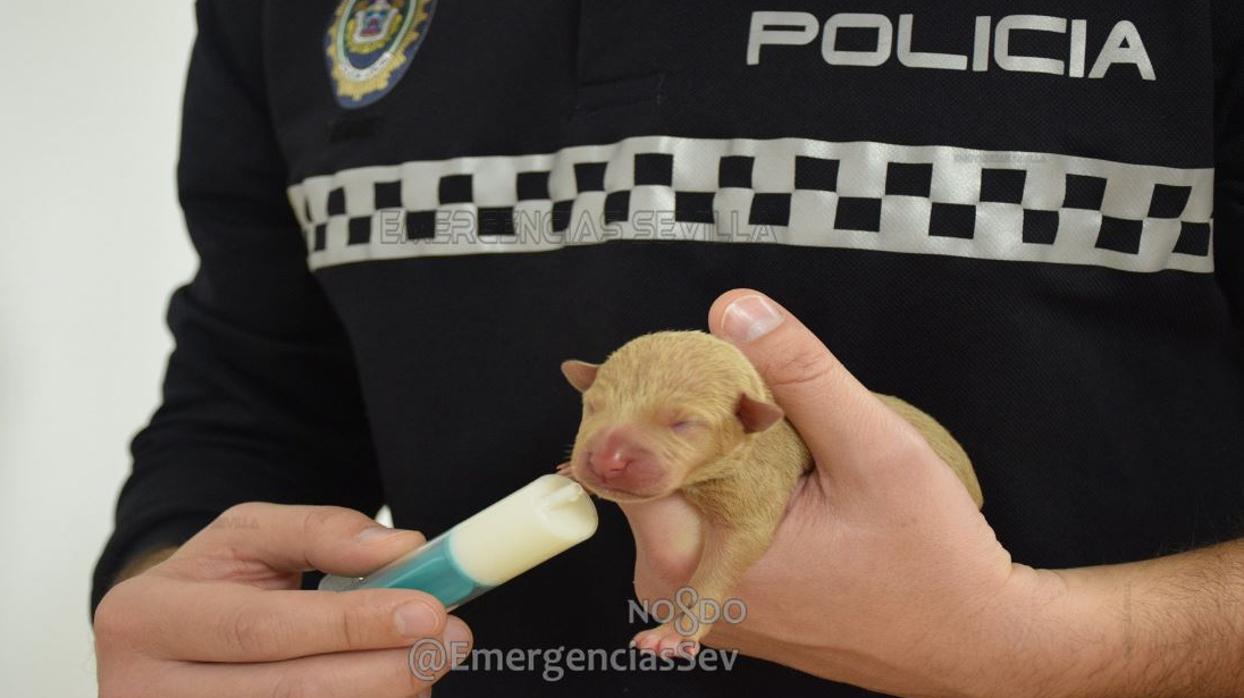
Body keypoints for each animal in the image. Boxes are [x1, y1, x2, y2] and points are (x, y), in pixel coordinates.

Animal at [562, 328, 980, 656]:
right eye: (592, 406)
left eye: (684, 424)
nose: (606, 460)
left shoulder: (754, 485)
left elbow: (725, 560)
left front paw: (676, 631)